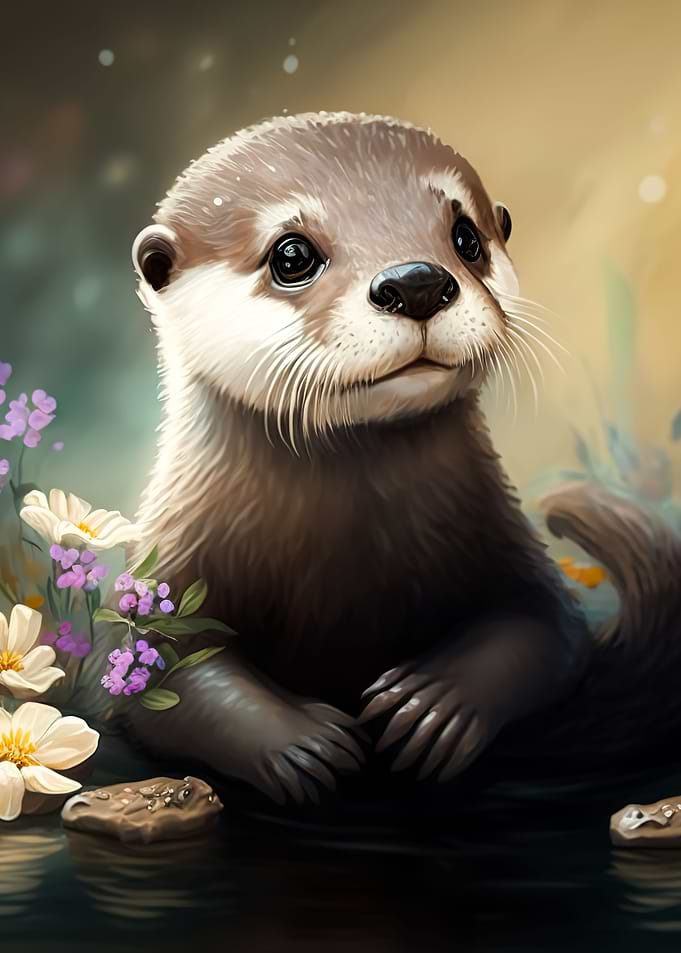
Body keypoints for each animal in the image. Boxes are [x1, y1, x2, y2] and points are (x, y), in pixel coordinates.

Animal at [115, 112, 681, 805]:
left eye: (466, 236)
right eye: (291, 254)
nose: (416, 282)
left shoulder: (506, 546)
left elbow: (546, 628)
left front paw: (434, 705)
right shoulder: (170, 569)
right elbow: (160, 680)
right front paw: (301, 741)